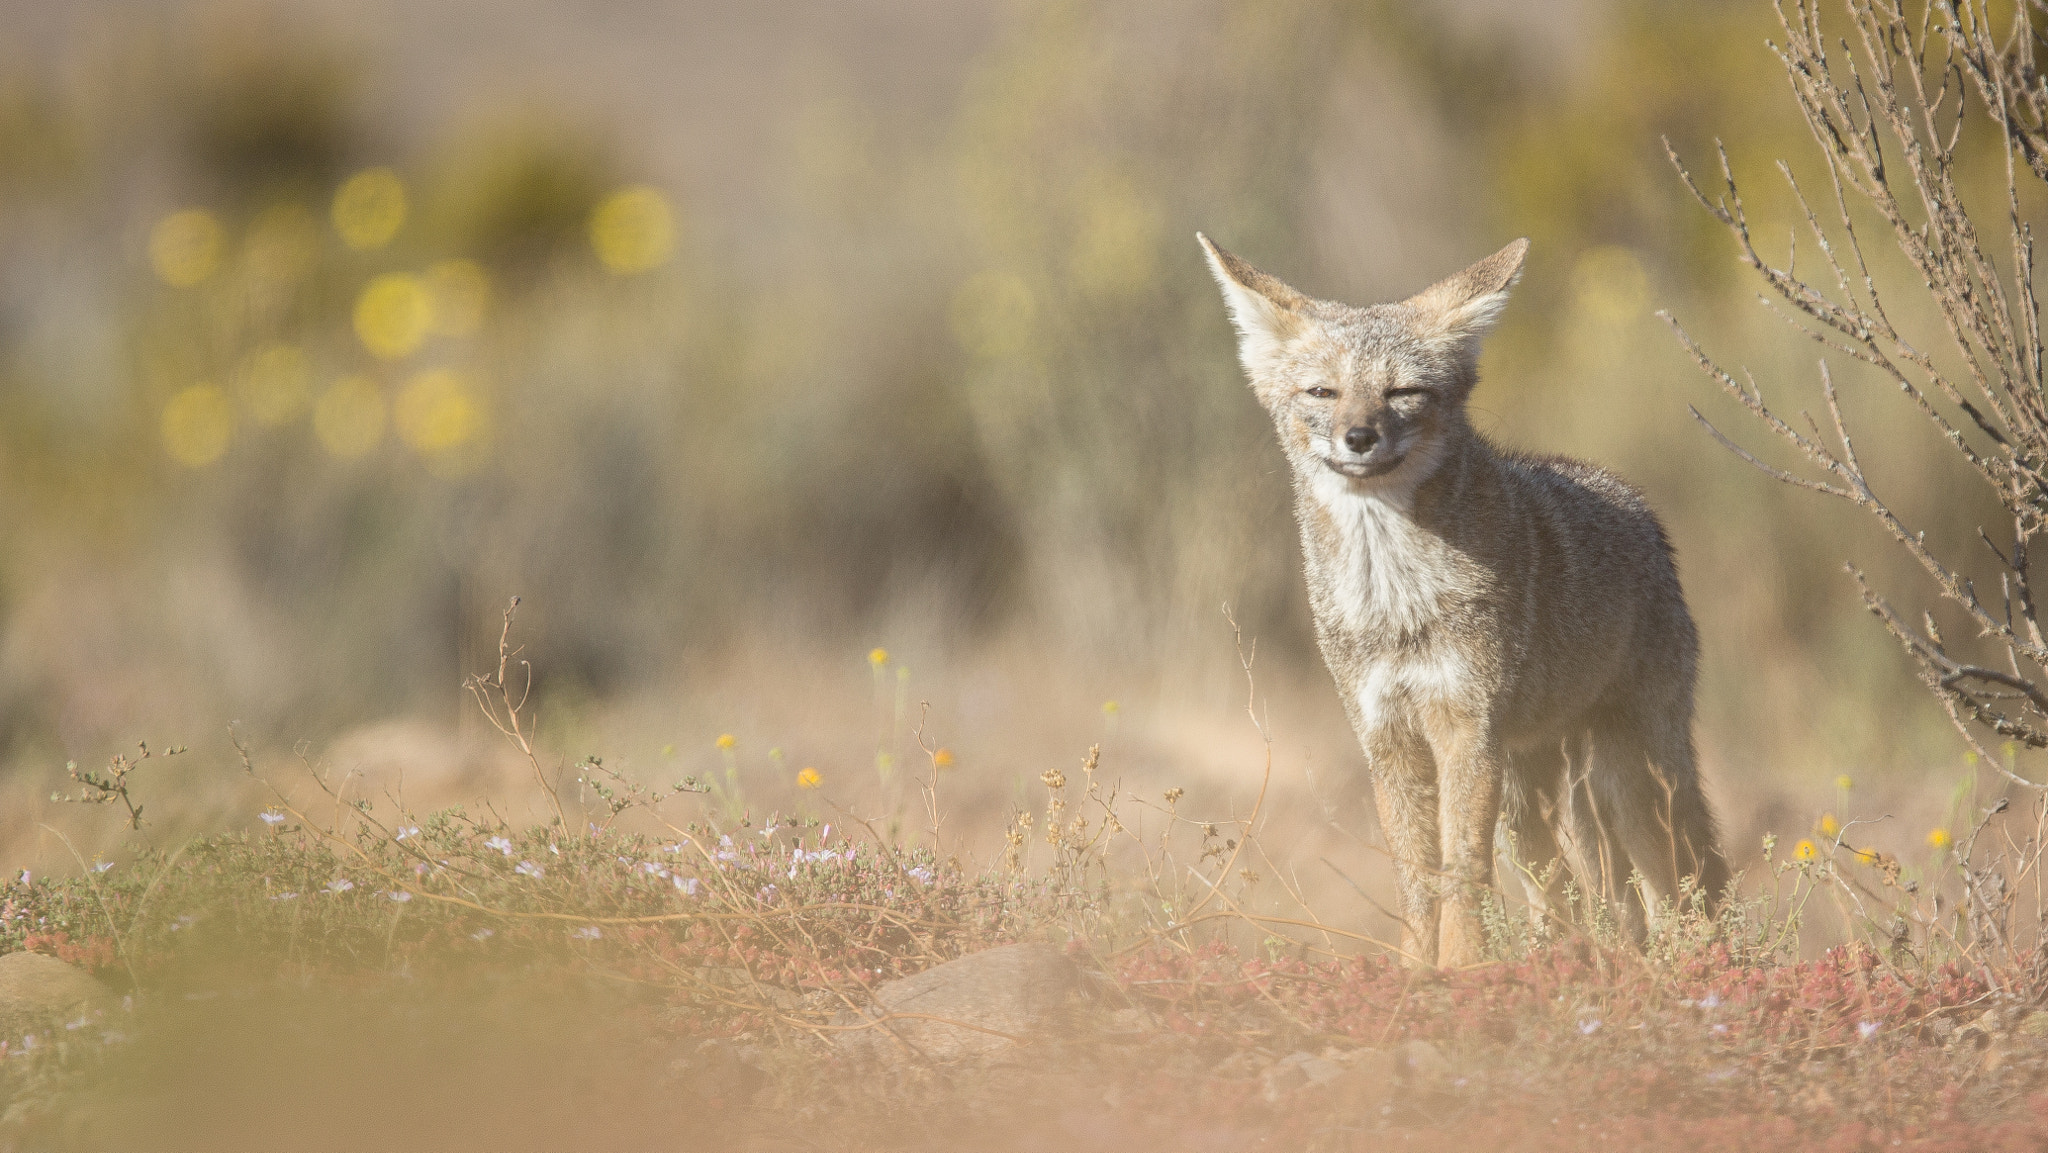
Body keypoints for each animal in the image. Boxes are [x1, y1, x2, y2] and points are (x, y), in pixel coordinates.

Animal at [1196, 236, 1728, 974]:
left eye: (1402, 392)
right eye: (1323, 392)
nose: (1358, 437)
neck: (1393, 596)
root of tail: (1636, 503)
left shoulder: (1464, 730)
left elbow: (1461, 871)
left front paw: (1463, 968)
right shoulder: (1387, 736)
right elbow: (1418, 878)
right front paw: (1419, 972)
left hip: (1630, 782)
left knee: (1682, 885)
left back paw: (1699, 963)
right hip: (1531, 798)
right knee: (1568, 896)